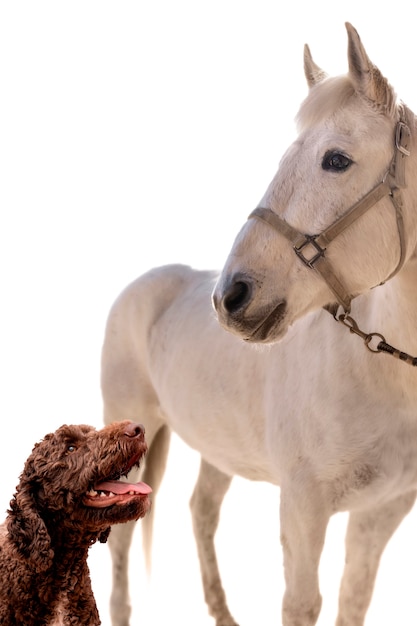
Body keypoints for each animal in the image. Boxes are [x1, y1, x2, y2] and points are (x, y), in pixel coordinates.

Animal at [101, 24, 416, 624]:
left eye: (336, 160)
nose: (231, 296)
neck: (379, 376)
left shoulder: (381, 513)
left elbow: (353, 600)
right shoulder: (303, 508)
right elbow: (302, 603)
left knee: (201, 510)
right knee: (123, 539)